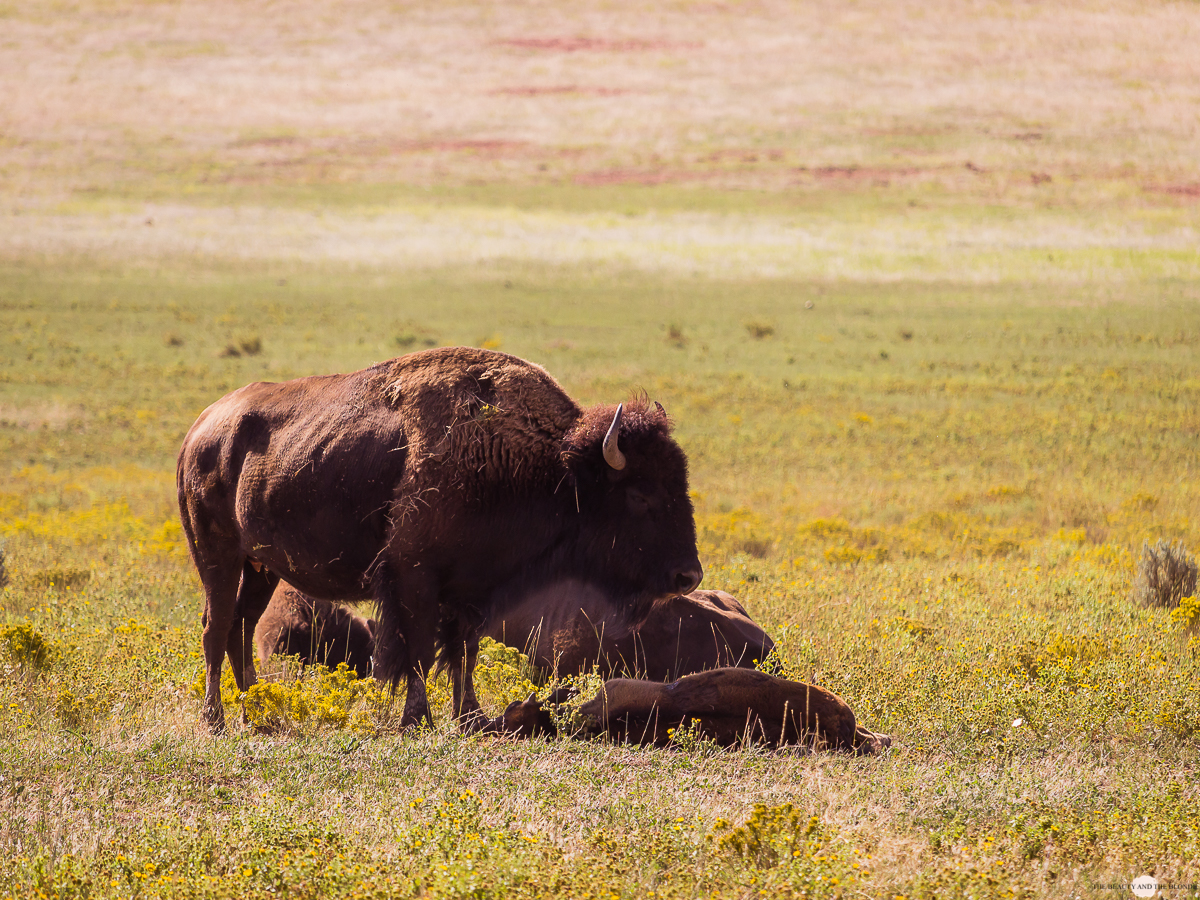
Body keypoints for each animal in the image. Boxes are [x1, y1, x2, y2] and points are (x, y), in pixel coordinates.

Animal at [177, 345, 700, 734]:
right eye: (640, 494)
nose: (688, 576)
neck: (552, 469)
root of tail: (200, 430)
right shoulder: (415, 579)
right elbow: (420, 651)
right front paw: (418, 720)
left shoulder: (472, 590)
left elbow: (463, 652)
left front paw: (470, 718)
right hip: (217, 555)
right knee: (215, 626)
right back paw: (216, 720)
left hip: (260, 567)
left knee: (241, 626)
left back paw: (257, 712)